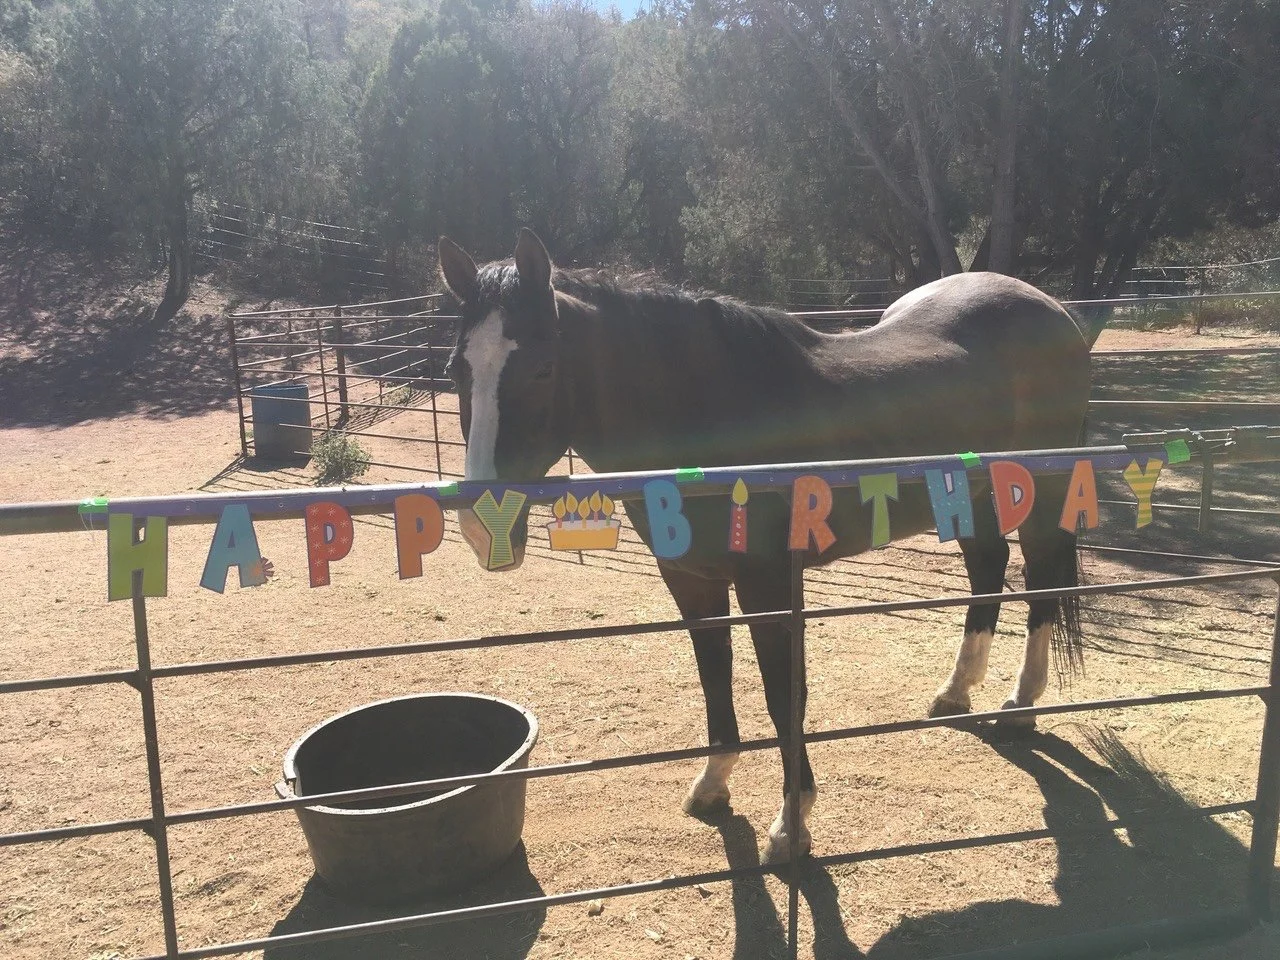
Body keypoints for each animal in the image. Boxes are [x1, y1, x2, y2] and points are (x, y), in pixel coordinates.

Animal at [438, 229, 1091, 864]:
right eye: (455, 369)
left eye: (543, 369)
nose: (482, 523)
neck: (715, 419)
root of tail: (1050, 309)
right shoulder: (691, 580)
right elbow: (715, 679)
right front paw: (712, 785)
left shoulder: (769, 585)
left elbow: (783, 697)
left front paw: (791, 826)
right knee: (989, 567)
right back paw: (955, 693)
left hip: (1041, 497)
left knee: (1042, 583)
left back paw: (1021, 707)